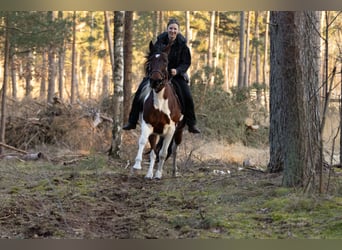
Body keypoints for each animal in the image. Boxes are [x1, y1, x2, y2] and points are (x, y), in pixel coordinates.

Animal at [132, 41, 186, 179]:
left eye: (166, 61)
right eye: (150, 60)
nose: (155, 81)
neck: (160, 104)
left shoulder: (171, 129)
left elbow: (163, 153)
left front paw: (158, 174)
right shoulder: (148, 125)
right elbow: (144, 143)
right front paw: (139, 167)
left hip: (179, 131)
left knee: (175, 150)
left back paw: (174, 172)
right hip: (156, 133)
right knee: (154, 150)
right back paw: (150, 173)